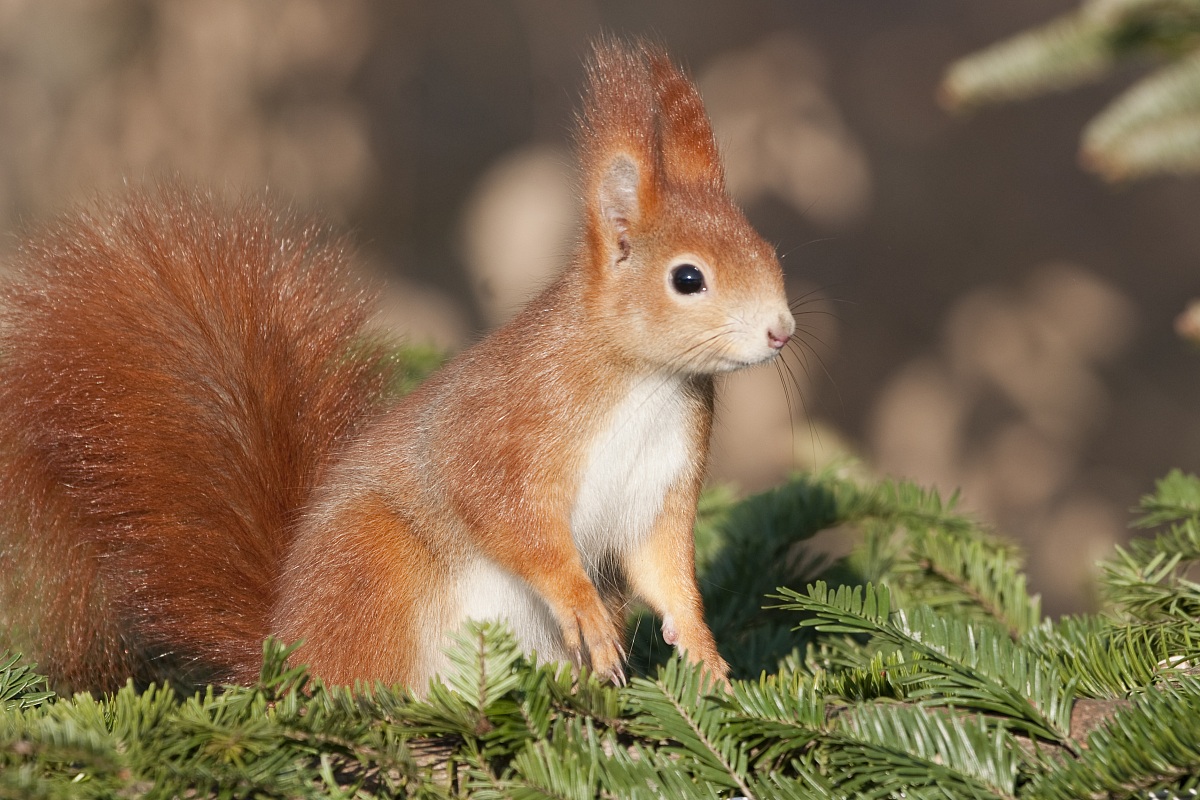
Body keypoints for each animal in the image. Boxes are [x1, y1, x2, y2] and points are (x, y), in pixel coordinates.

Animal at [0, 40, 794, 692]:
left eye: (769, 249)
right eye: (687, 278)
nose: (781, 330)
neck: (643, 378)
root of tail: (283, 652)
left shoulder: (663, 485)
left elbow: (667, 573)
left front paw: (706, 656)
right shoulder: (509, 425)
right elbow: (505, 515)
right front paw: (582, 605)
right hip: (376, 571)